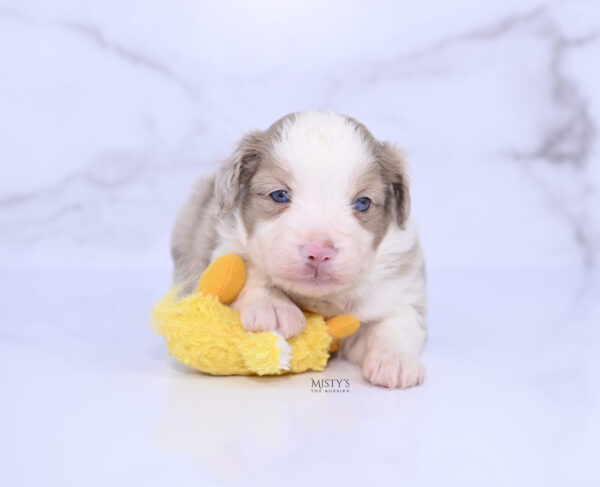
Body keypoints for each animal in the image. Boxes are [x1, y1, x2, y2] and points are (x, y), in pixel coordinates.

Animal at [171, 111, 426, 388]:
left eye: (362, 202)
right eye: (280, 195)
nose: (319, 253)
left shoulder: (397, 287)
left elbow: (397, 321)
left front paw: (395, 360)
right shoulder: (226, 241)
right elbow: (247, 269)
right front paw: (273, 306)